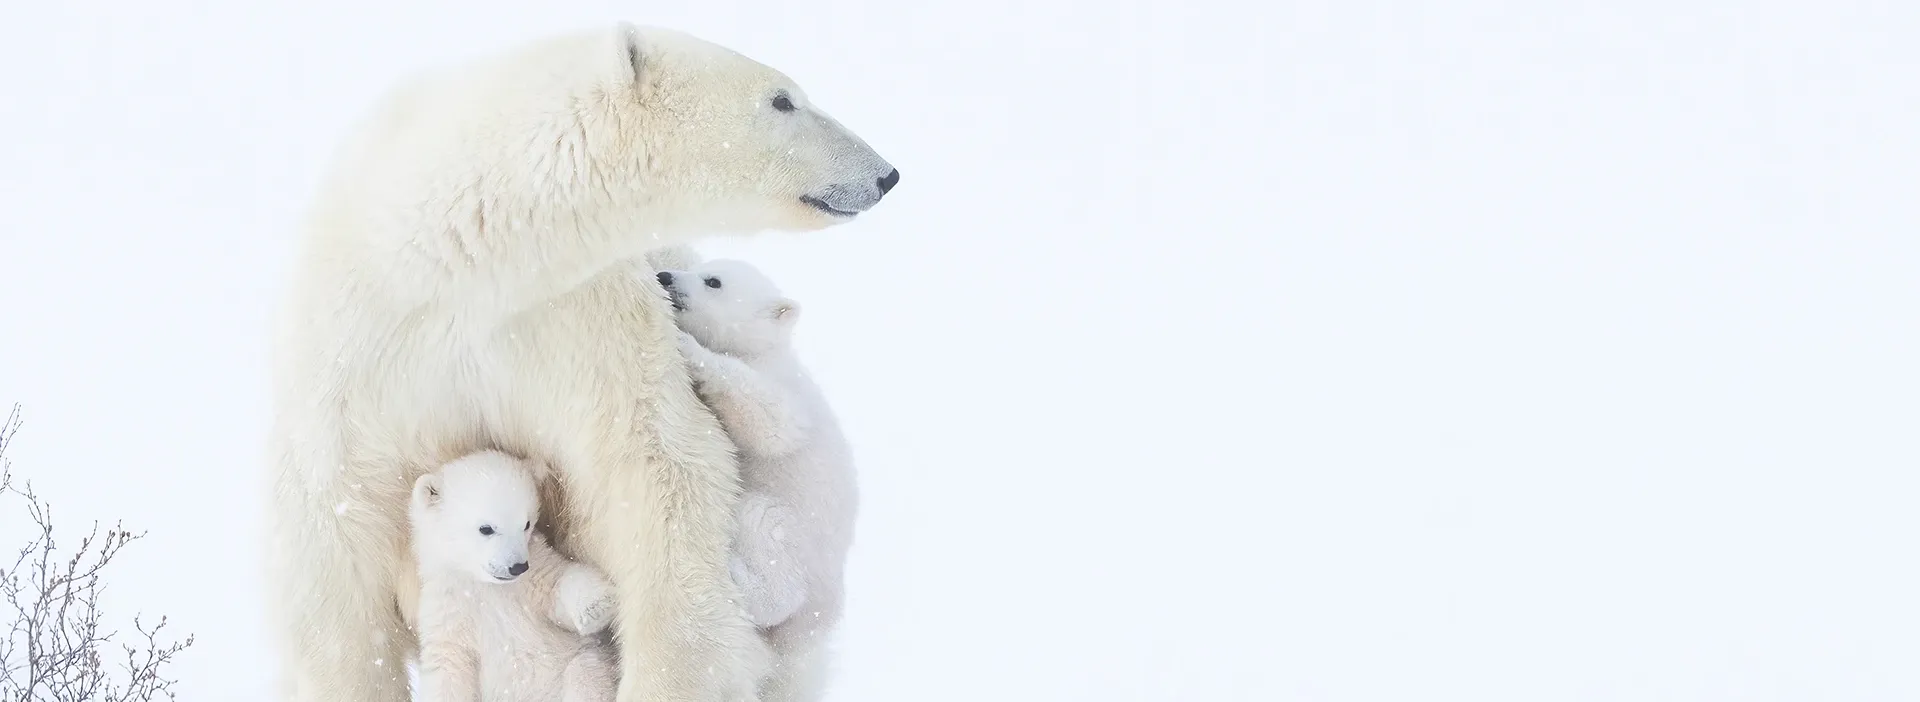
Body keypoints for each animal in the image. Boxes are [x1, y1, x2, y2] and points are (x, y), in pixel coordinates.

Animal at [409, 450, 618, 702]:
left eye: (526, 524)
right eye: (486, 528)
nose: (518, 567)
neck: (485, 585)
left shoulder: (534, 573)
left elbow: (555, 585)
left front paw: (597, 605)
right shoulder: (447, 610)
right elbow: (449, 667)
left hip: (579, 661)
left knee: (586, 677)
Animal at [657, 259, 860, 702]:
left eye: (713, 281)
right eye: (700, 266)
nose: (664, 275)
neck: (766, 351)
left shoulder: (785, 391)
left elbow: (773, 422)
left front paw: (689, 347)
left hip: (797, 533)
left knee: (767, 535)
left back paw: (739, 574)